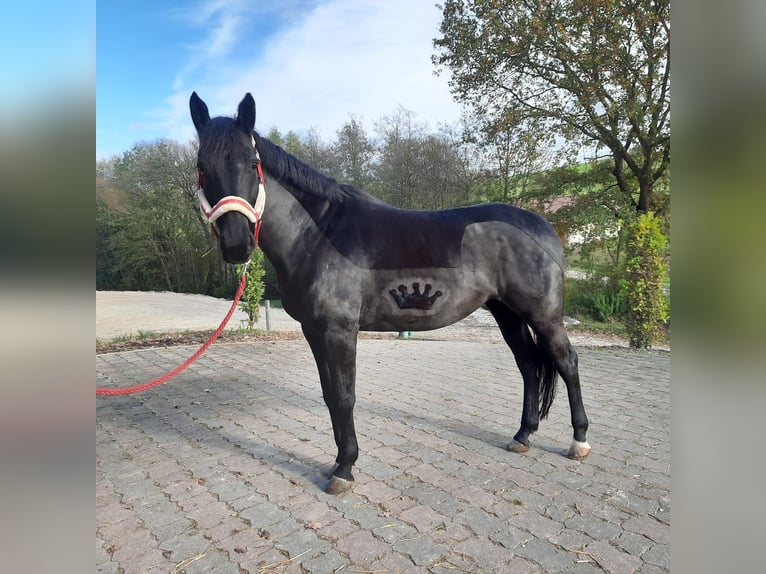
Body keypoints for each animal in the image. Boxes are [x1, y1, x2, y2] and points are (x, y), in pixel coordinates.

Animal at [189, 92, 591, 494]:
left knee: (567, 362)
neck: (318, 234)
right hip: (508, 314)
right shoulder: (314, 331)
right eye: (202, 166)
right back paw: (522, 435)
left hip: (543, 316)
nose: (236, 244)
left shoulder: (340, 331)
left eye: (252, 163)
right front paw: (338, 461)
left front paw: (344, 468)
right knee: (529, 366)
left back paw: (579, 441)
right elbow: (330, 395)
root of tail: (542, 227)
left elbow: (344, 395)